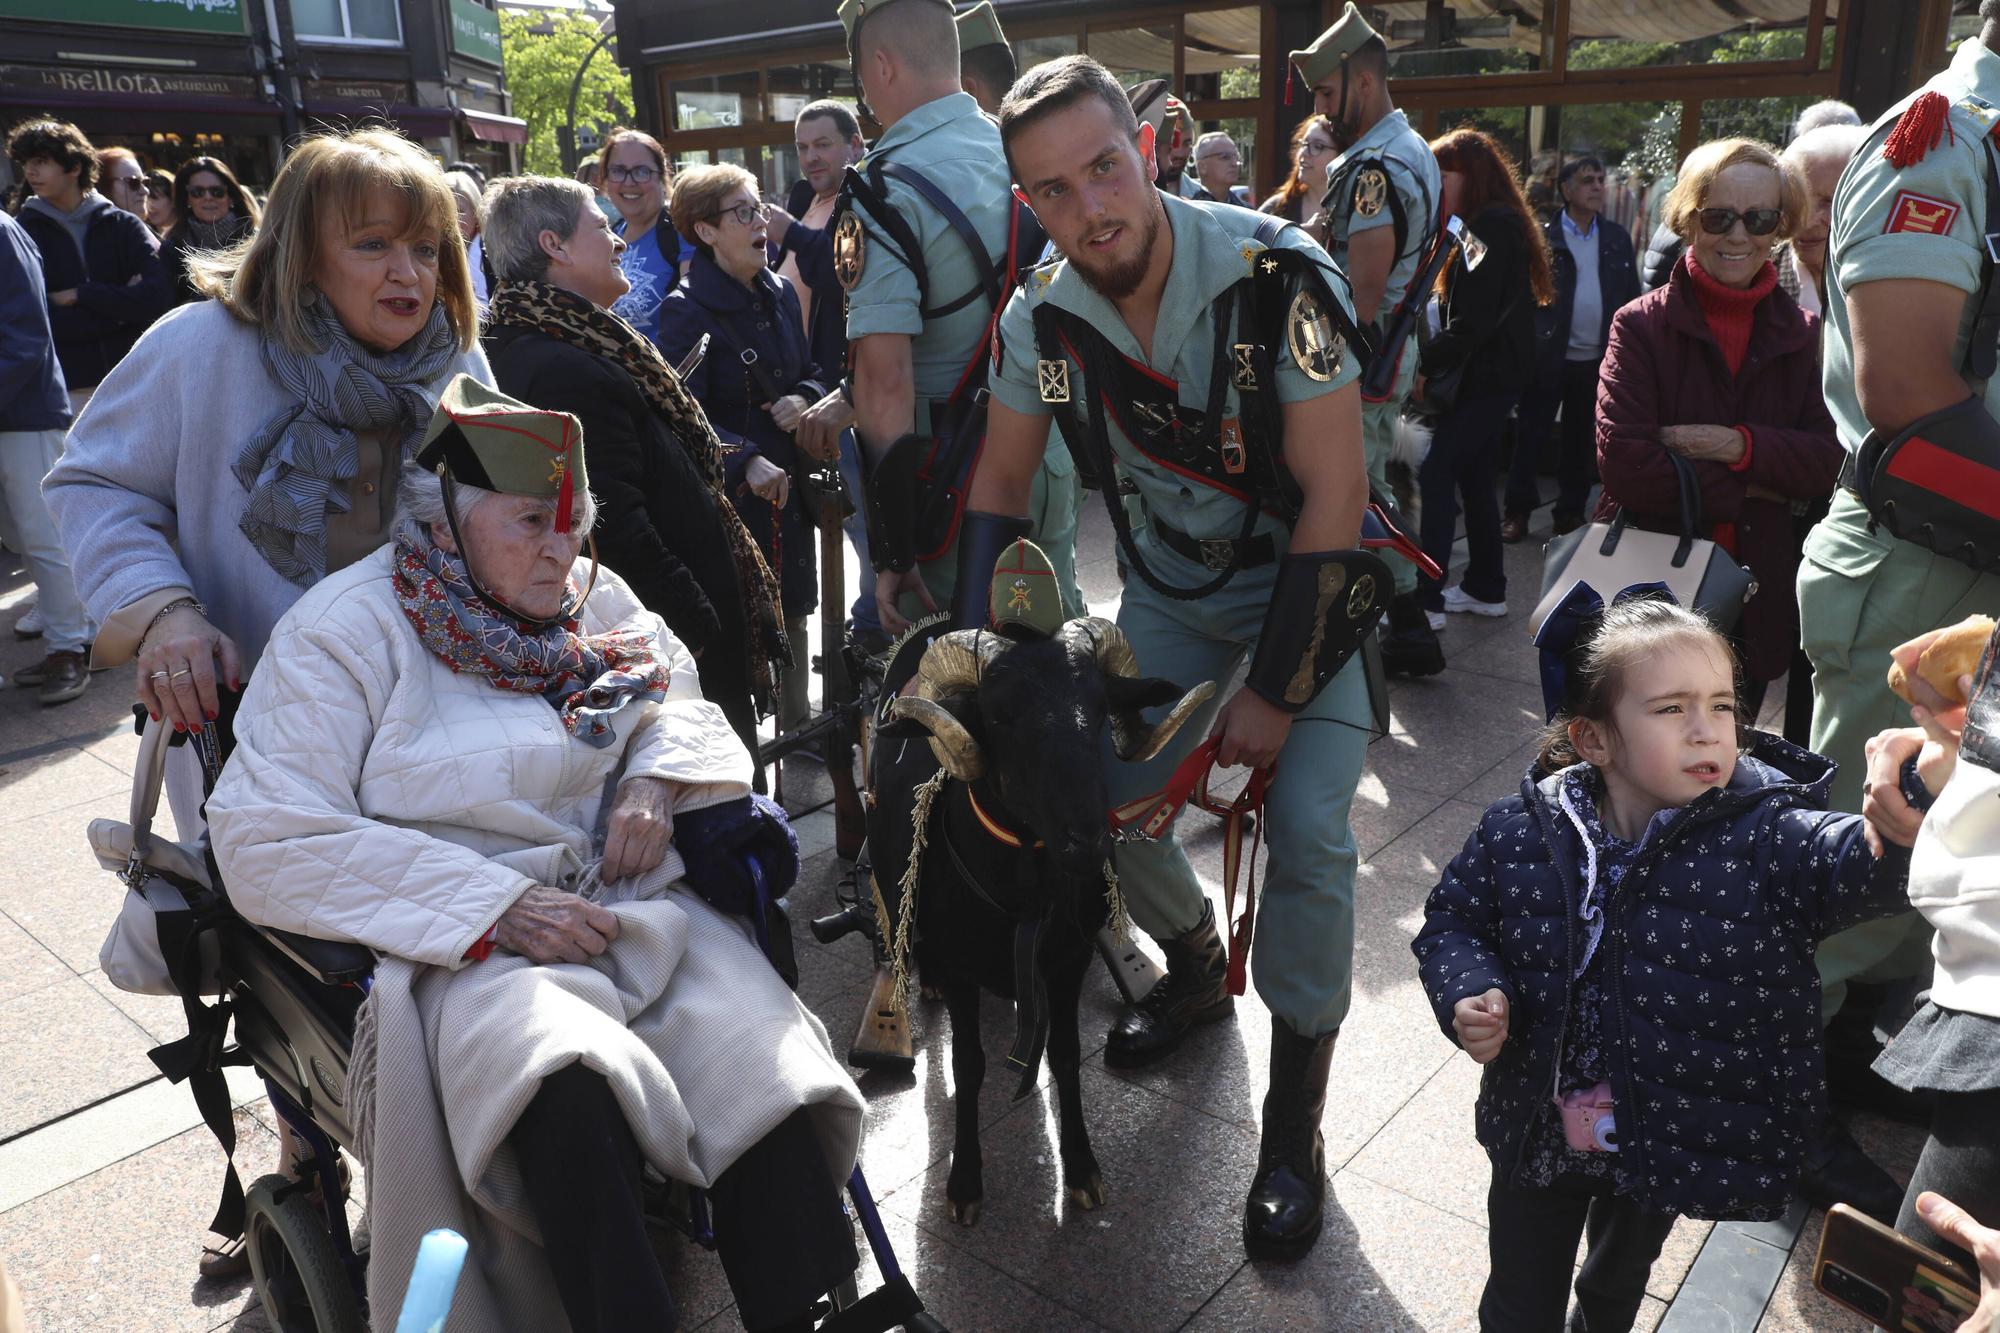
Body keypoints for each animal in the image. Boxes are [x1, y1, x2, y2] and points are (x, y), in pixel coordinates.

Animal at [872, 616, 1208, 1216]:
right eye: (999, 716)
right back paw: (925, 982)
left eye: (1098, 709)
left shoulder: (1068, 961)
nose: (1088, 840)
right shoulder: (963, 970)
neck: (1024, 885)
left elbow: (1067, 1057)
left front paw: (1082, 1170)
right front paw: (964, 1184)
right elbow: (967, 1066)